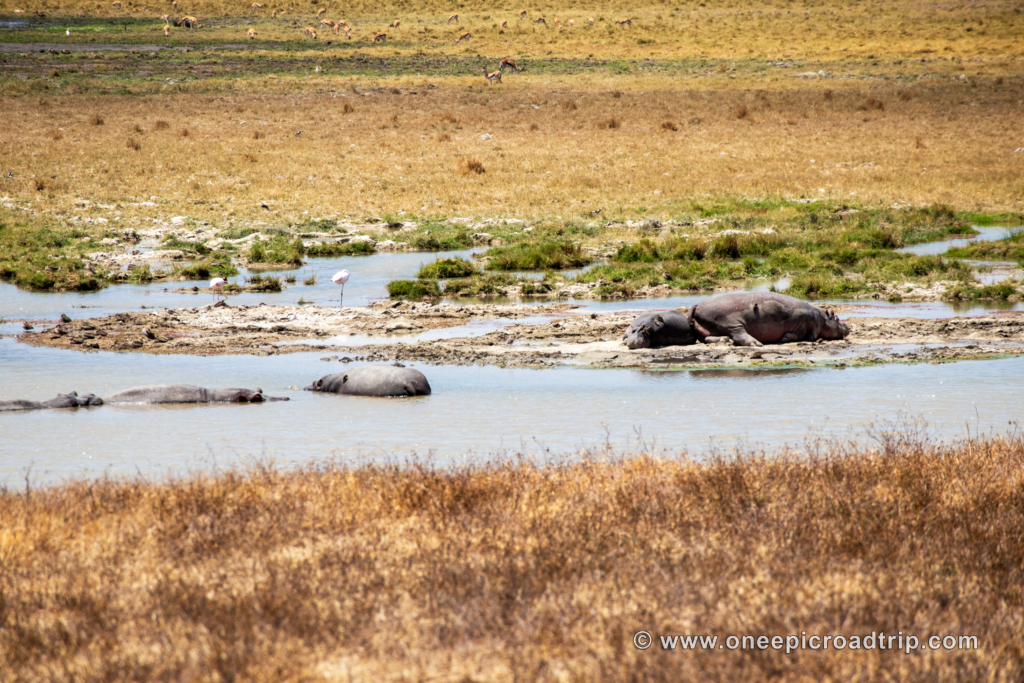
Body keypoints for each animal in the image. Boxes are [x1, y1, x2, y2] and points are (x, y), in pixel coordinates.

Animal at [688, 292, 849, 347]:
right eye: (836, 317)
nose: (848, 327)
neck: (822, 319)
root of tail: (697, 304)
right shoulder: (803, 322)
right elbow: (804, 334)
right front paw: (784, 339)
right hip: (730, 323)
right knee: (739, 335)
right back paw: (756, 343)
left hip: (710, 327)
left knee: (709, 338)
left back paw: (725, 340)